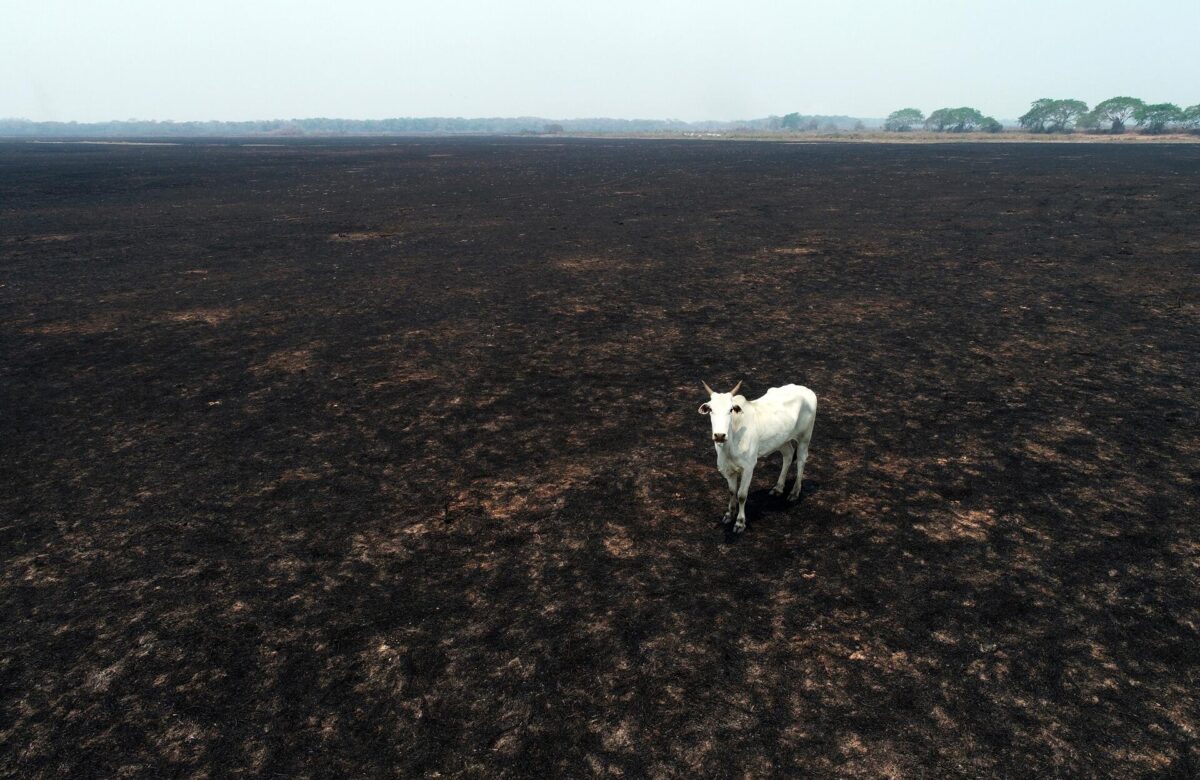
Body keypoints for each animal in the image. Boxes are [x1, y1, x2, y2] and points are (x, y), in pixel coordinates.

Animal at [700, 379, 820, 530]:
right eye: (710, 410)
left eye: (731, 410)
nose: (720, 435)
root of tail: (807, 390)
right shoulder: (727, 468)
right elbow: (732, 491)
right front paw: (729, 514)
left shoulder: (748, 467)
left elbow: (741, 495)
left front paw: (740, 522)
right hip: (782, 439)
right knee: (788, 455)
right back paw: (778, 488)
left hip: (805, 437)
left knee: (801, 460)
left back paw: (794, 492)